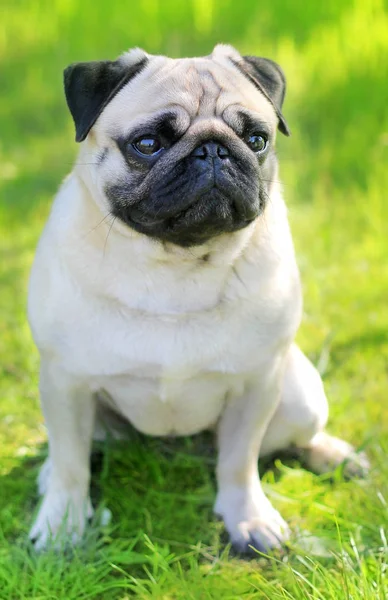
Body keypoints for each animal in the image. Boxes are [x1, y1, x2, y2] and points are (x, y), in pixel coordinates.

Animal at [28, 44, 368, 552]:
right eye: (148, 144)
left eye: (257, 139)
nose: (213, 150)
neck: (177, 268)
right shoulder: (66, 383)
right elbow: (71, 463)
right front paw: (61, 525)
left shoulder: (256, 385)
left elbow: (240, 462)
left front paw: (248, 518)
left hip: (300, 394)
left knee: (295, 437)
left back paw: (336, 456)